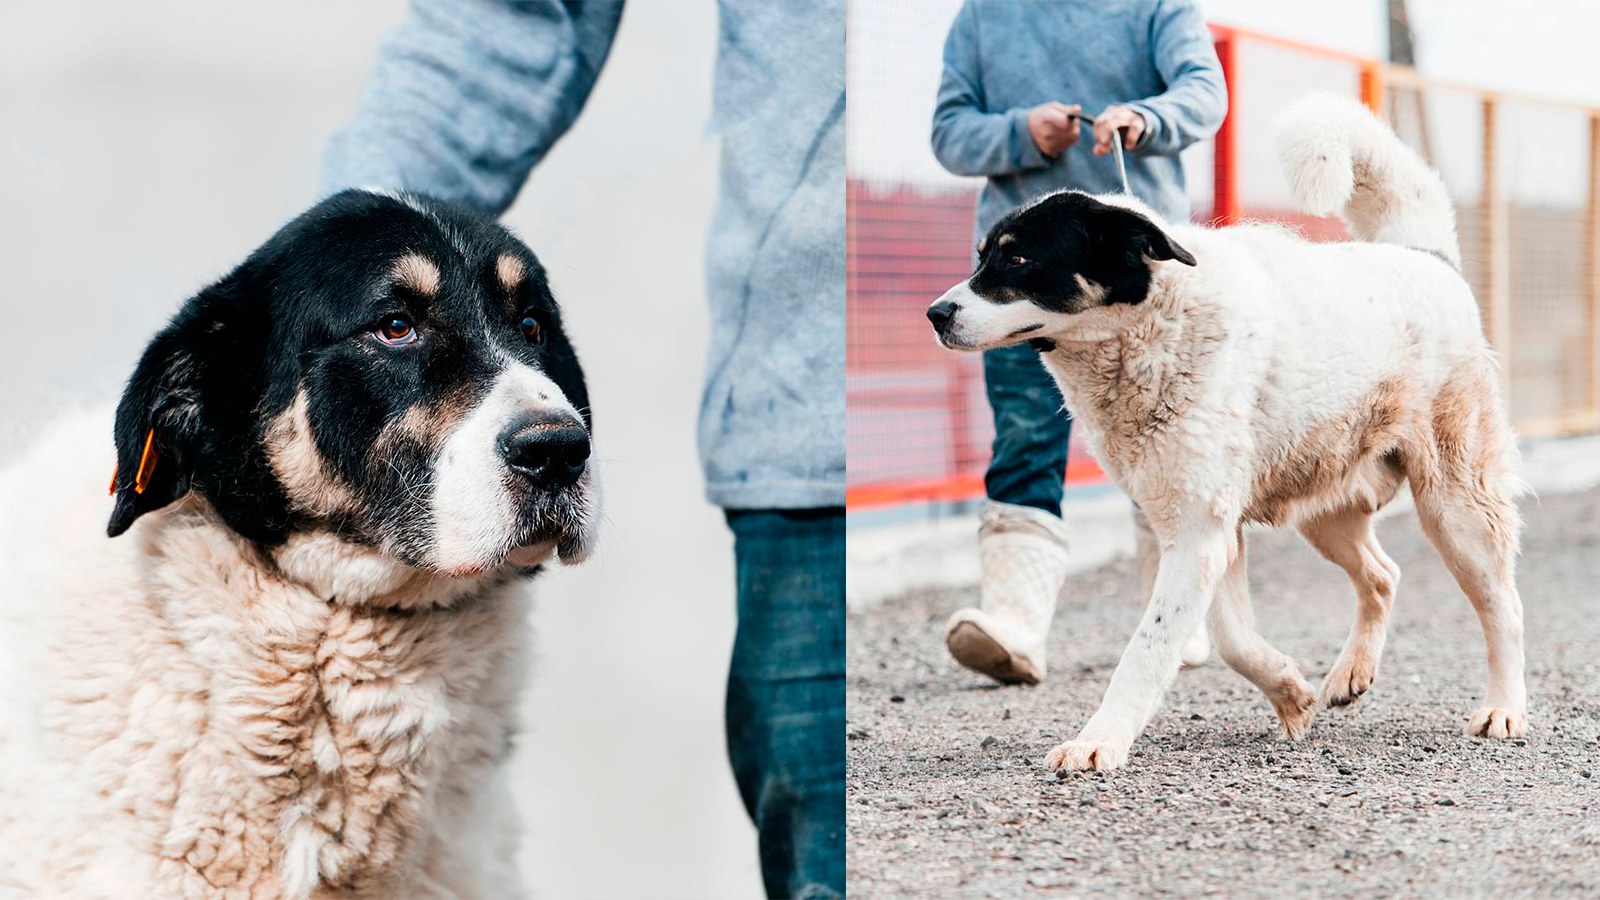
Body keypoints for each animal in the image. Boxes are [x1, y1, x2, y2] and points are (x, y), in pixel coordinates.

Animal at [934, 96, 1529, 771]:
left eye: (1018, 258)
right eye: (982, 256)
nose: (935, 314)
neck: (1153, 327)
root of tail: (1425, 255)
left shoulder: (1199, 533)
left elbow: (1147, 651)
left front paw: (1098, 741)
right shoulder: (1202, 528)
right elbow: (1230, 638)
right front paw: (1291, 695)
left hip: (1457, 505)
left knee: (1502, 607)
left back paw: (1503, 709)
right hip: (1324, 504)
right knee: (1383, 575)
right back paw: (1351, 673)